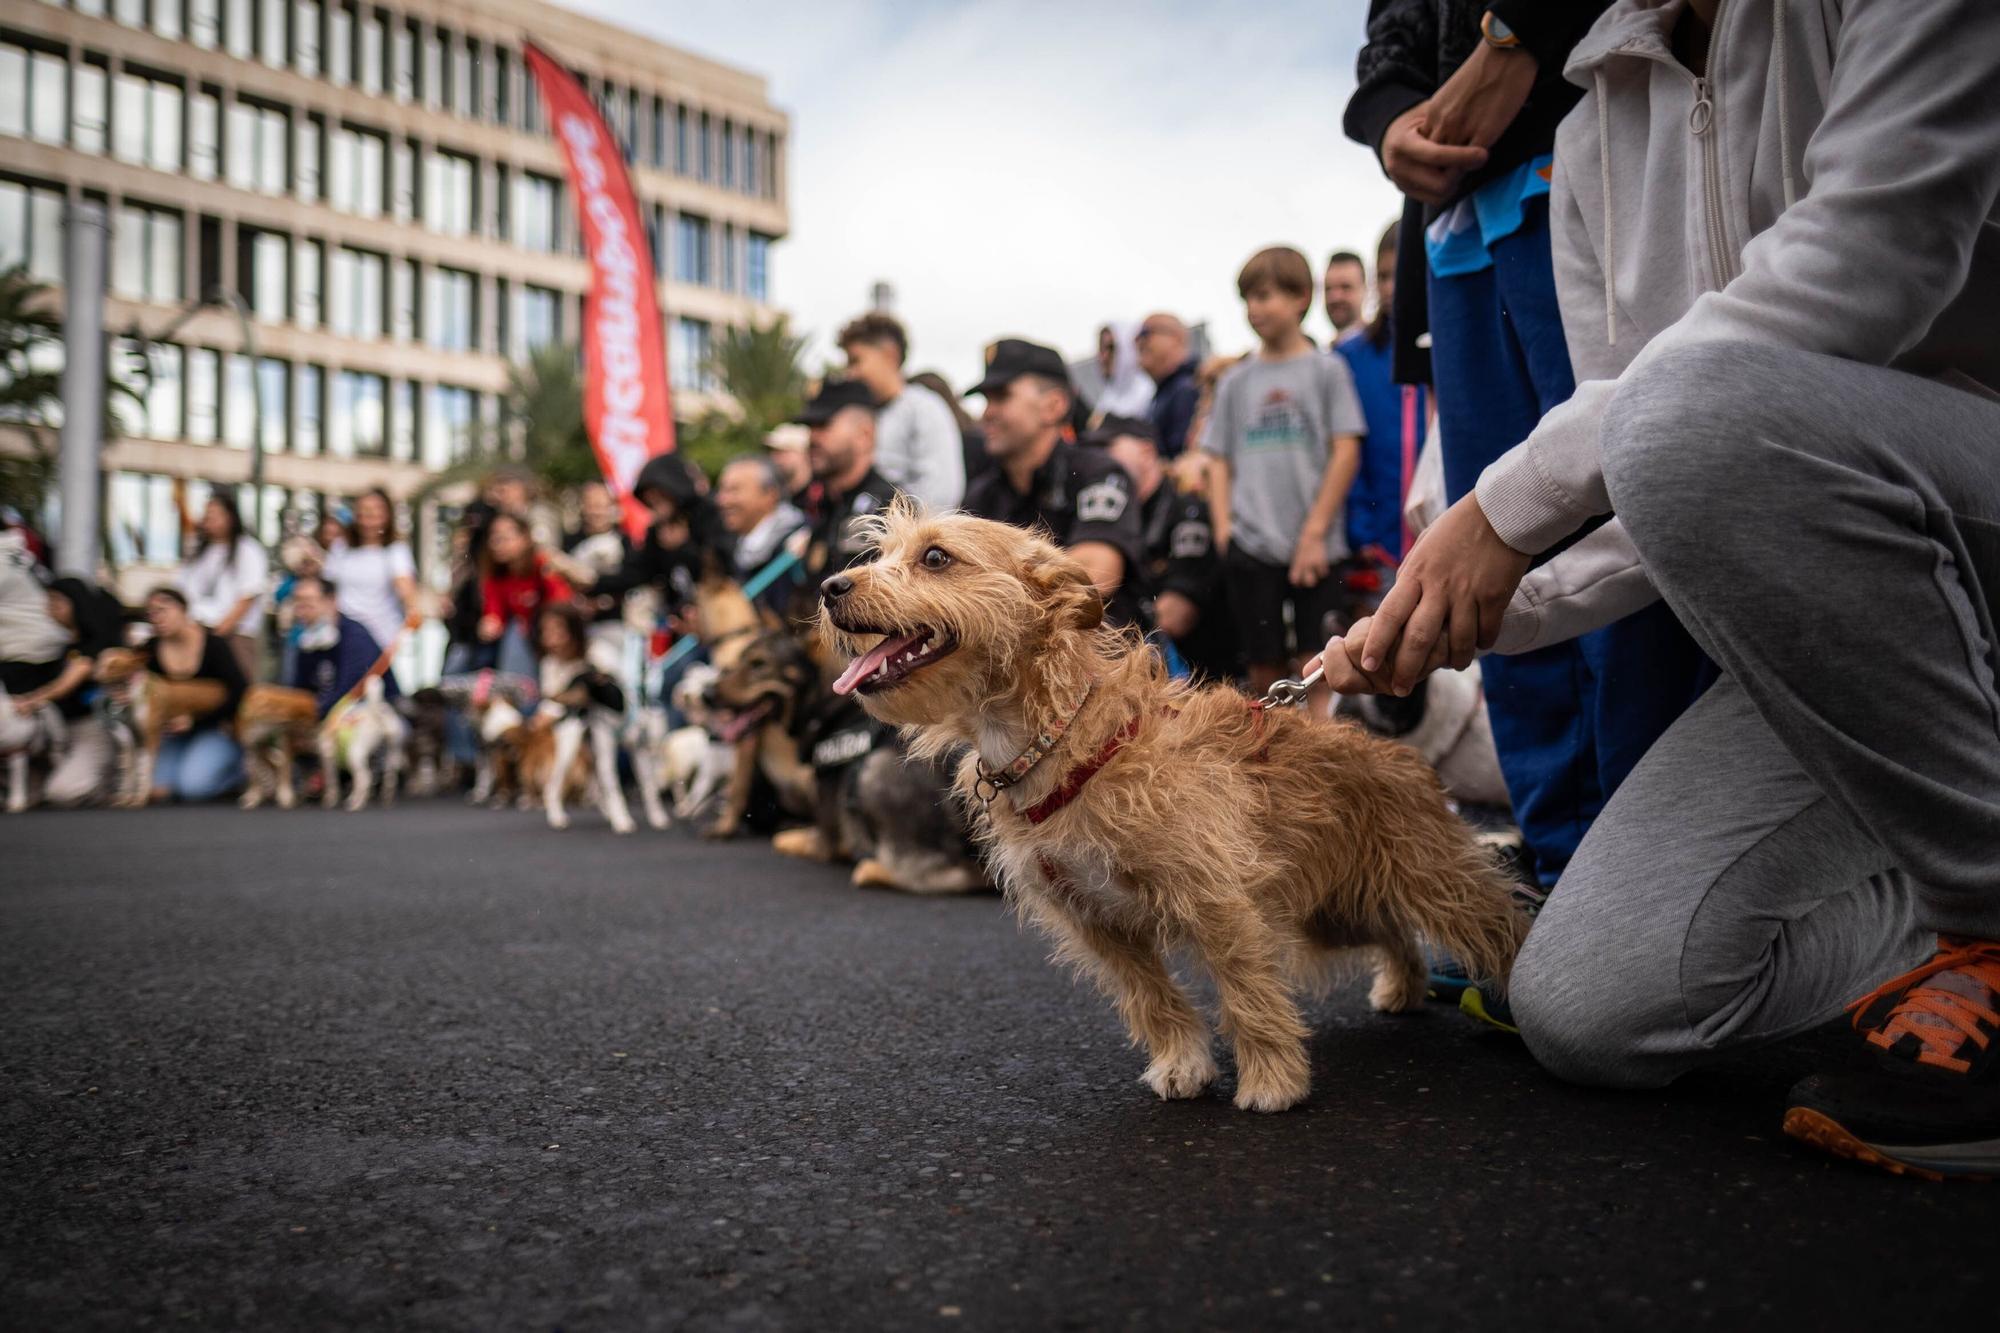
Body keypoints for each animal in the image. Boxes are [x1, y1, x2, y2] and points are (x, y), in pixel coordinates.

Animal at [95, 644, 230, 804]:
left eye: (114, 665)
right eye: (102, 660)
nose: (96, 670)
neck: (132, 696)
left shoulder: (149, 739)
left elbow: (145, 772)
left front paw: (140, 798)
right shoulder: (129, 742)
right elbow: (129, 773)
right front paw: (125, 797)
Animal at [820, 508, 1520, 1112]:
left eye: (936, 557)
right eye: (881, 553)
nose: (830, 587)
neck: (1059, 743)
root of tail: (1398, 753)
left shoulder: (1217, 901)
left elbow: (1247, 994)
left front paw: (1273, 1082)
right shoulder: (1094, 921)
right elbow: (1153, 1000)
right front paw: (1183, 1065)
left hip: (1432, 884)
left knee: (1498, 925)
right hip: (1334, 912)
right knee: (1395, 932)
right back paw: (1402, 988)